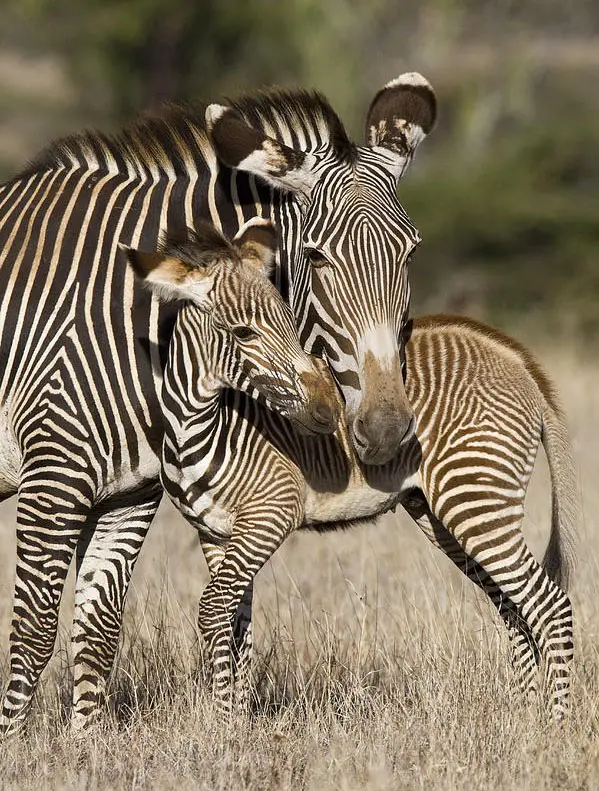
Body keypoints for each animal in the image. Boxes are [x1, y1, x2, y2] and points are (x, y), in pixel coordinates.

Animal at [0, 74, 436, 732]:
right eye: (315, 256)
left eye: (410, 253)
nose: (386, 429)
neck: (144, 326)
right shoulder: (54, 473)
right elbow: (33, 628)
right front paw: (17, 744)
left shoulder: (130, 490)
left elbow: (99, 628)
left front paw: (84, 744)